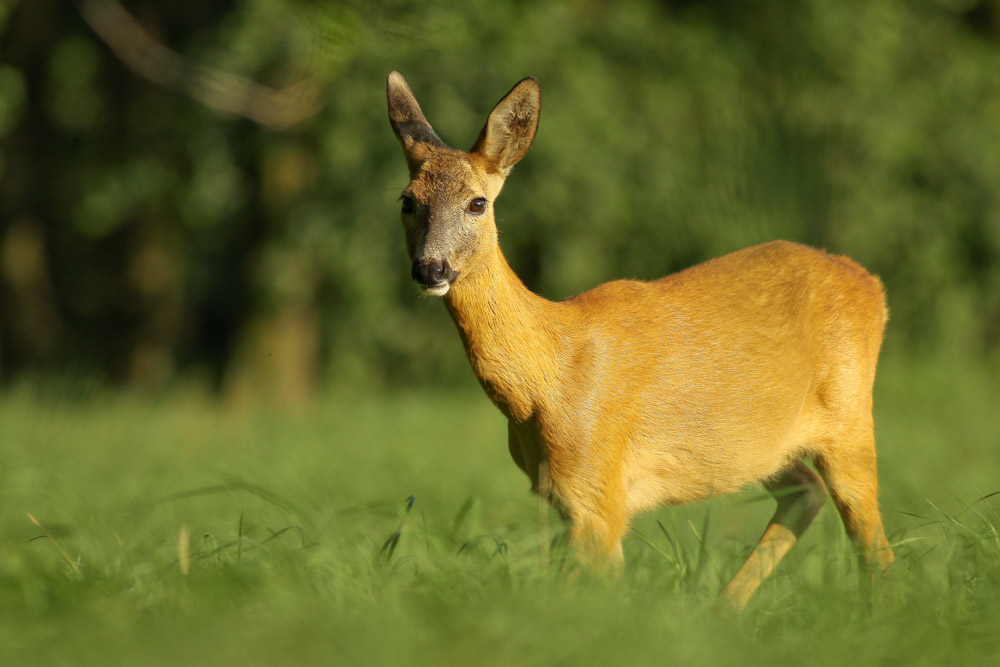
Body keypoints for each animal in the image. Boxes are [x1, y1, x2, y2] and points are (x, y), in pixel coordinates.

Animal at [386, 70, 896, 608]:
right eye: (407, 201)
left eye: (477, 203)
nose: (431, 269)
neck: (546, 380)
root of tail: (870, 282)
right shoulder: (570, 500)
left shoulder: (598, 493)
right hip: (766, 445)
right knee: (805, 491)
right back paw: (721, 610)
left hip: (850, 417)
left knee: (874, 546)